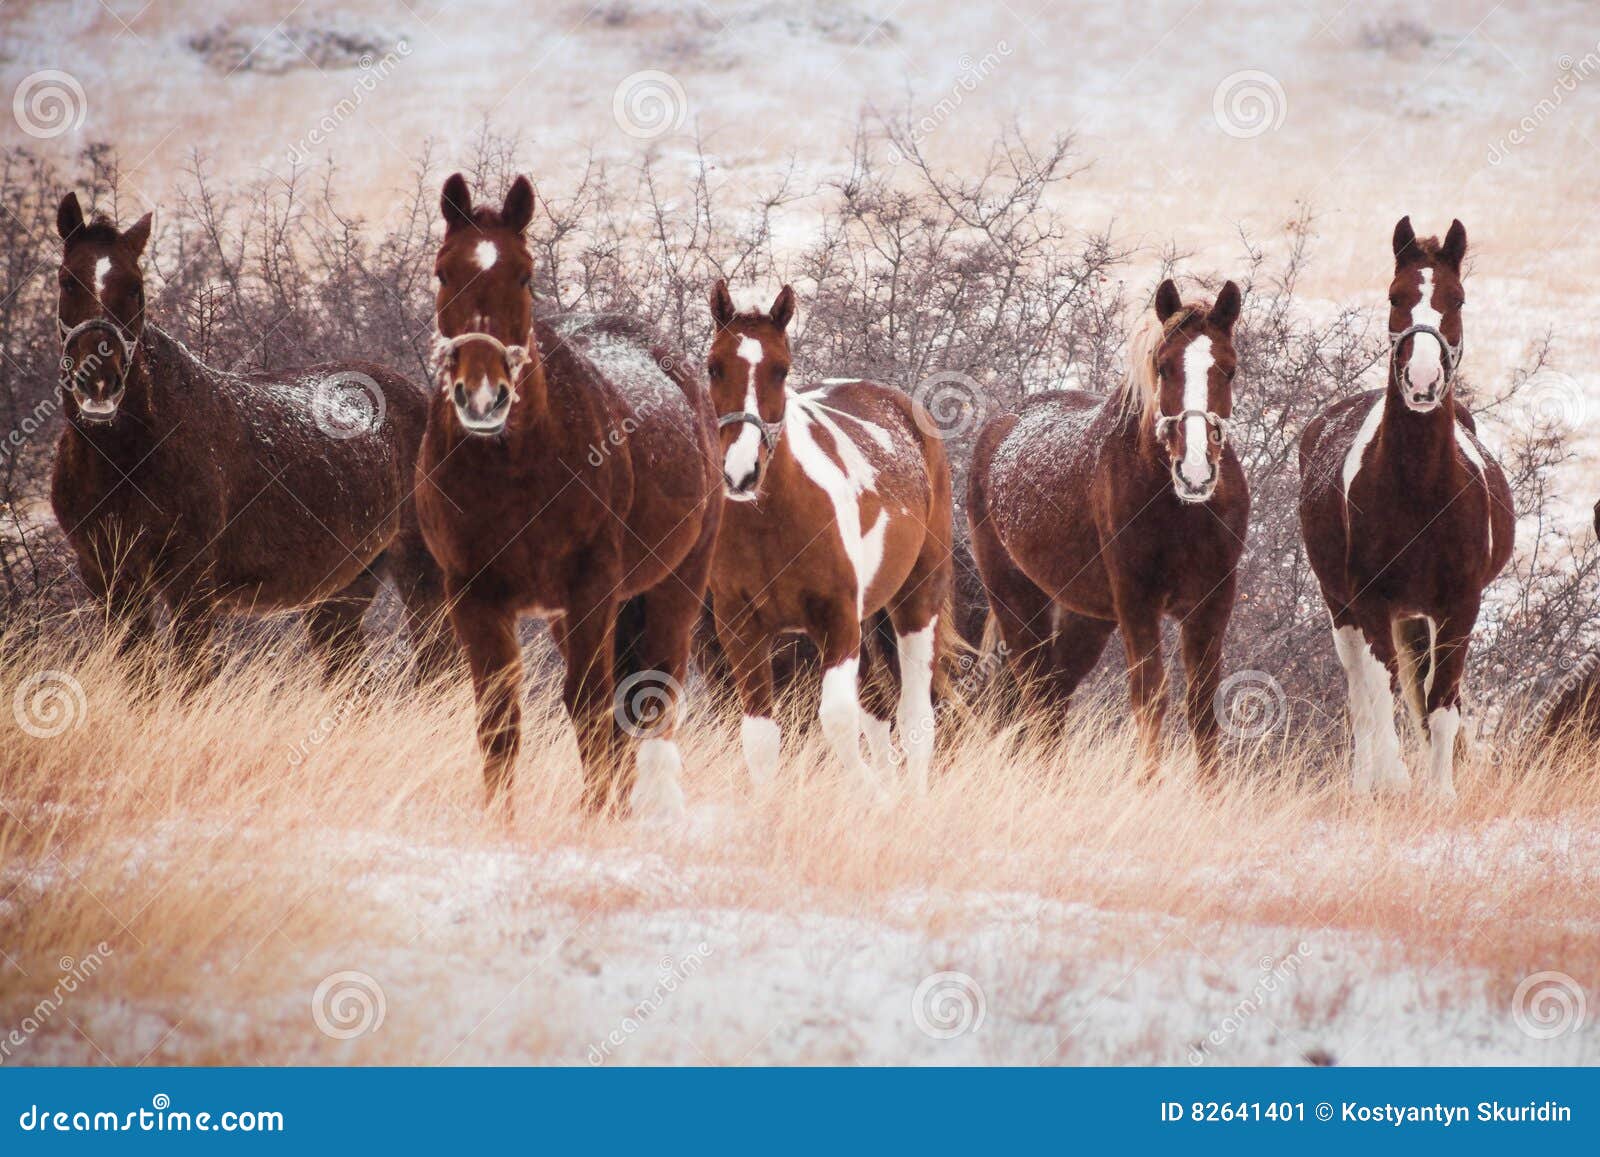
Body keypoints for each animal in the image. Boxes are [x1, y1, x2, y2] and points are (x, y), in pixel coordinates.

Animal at [49, 193, 453, 682]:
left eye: (135, 288)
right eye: (68, 281)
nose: (99, 382)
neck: (125, 459)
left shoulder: (189, 582)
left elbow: (189, 678)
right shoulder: (107, 578)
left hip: (420, 570)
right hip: (343, 590)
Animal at [417, 174, 722, 819]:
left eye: (525, 274)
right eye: (443, 271)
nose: (483, 396)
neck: (511, 472)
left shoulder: (591, 590)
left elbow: (589, 705)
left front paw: (595, 816)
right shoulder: (473, 595)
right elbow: (498, 718)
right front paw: (500, 819)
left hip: (673, 589)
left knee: (650, 700)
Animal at [705, 281, 956, 794]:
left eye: (781, 369)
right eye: (714, 366)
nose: (741, 473)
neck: (771, 523)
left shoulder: (837, 621)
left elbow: (837, 720)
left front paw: (876, 797)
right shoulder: (740, 628)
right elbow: (760, 739)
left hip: (917, 601)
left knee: (914, 716)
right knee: (878, 711)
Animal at [967, 279, 1248, 779]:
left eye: (1229, 371)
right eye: (1163, 367)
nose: (1195, 473)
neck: (1182, 513)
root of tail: (997, 430)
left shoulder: (1212, 601)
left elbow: (1201, 707)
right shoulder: (1137, 602)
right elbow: (1151, 698)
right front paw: (1147, 785)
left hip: (1086, 616)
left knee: (1053, 694)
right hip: (1016, 598)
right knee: (1035, 690)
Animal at [1298, 217, 1514, 798]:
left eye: (1456, 299)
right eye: (1396, 297)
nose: (1421, 381)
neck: (1419, 491)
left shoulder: (1460, 606)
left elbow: (1441, 701)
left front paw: (1440, 794)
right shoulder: (1370, 603)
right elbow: (1379, 692)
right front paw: (1392, 782)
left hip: (1417, 616)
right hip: (1343, 607)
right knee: (1361, 695)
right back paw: (1363, 782)